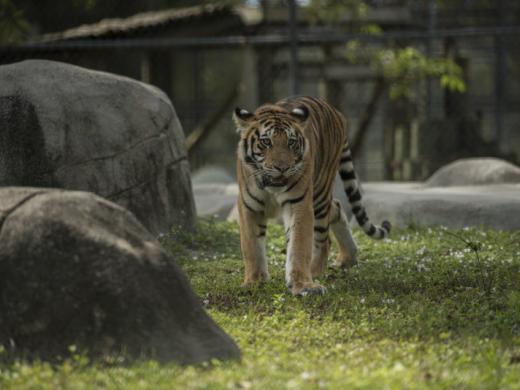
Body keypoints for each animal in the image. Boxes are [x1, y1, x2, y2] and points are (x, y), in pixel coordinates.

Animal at [233, 96, 390, 296]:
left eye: (291, 142)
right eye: (266, 141)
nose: (282, 168)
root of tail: (336, 112)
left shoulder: (299, 203)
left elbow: (299, 244)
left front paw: (303, 285)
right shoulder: (249, 207)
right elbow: (252, 247)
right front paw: (254, 282)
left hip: (320, 195)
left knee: (324, 238)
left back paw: (315, 272)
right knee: (336, 207)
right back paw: (348, 257)